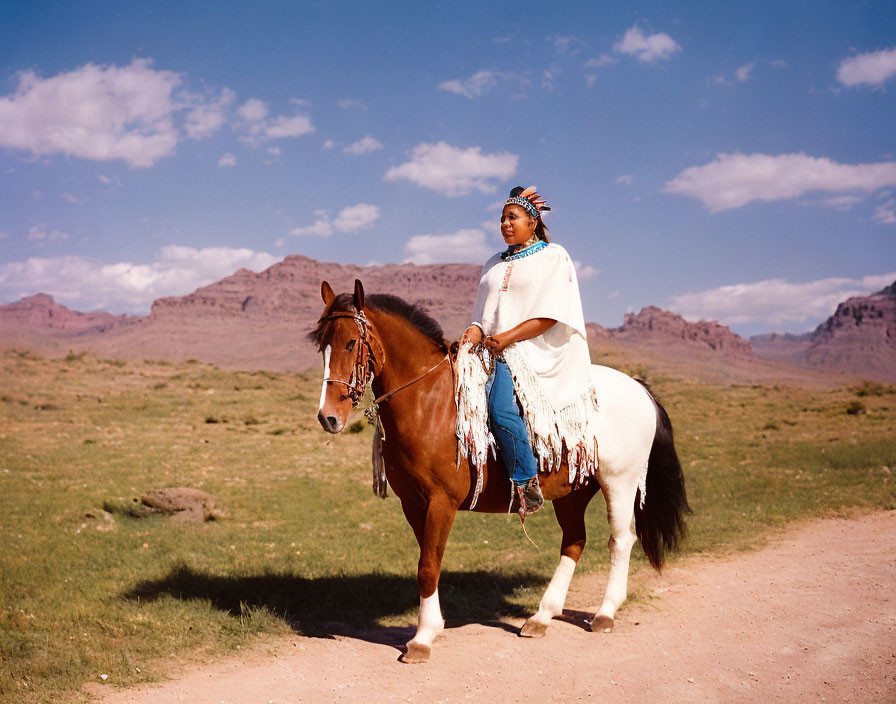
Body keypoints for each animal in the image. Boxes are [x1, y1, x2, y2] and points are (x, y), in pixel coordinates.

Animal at [312, 282, 688, 664]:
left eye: (350, 343)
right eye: (320, 345)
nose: (328, 417)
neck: (429, 402)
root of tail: (640, 388)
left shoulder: (441, 502)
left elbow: (428, 566)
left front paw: (422, 639)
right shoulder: (414, 505)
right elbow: (427, 564)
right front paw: (430, 628)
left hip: (620, 482)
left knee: (620, 541)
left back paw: (605, 613)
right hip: (573, 491)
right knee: (574, 542)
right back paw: (541, 617)